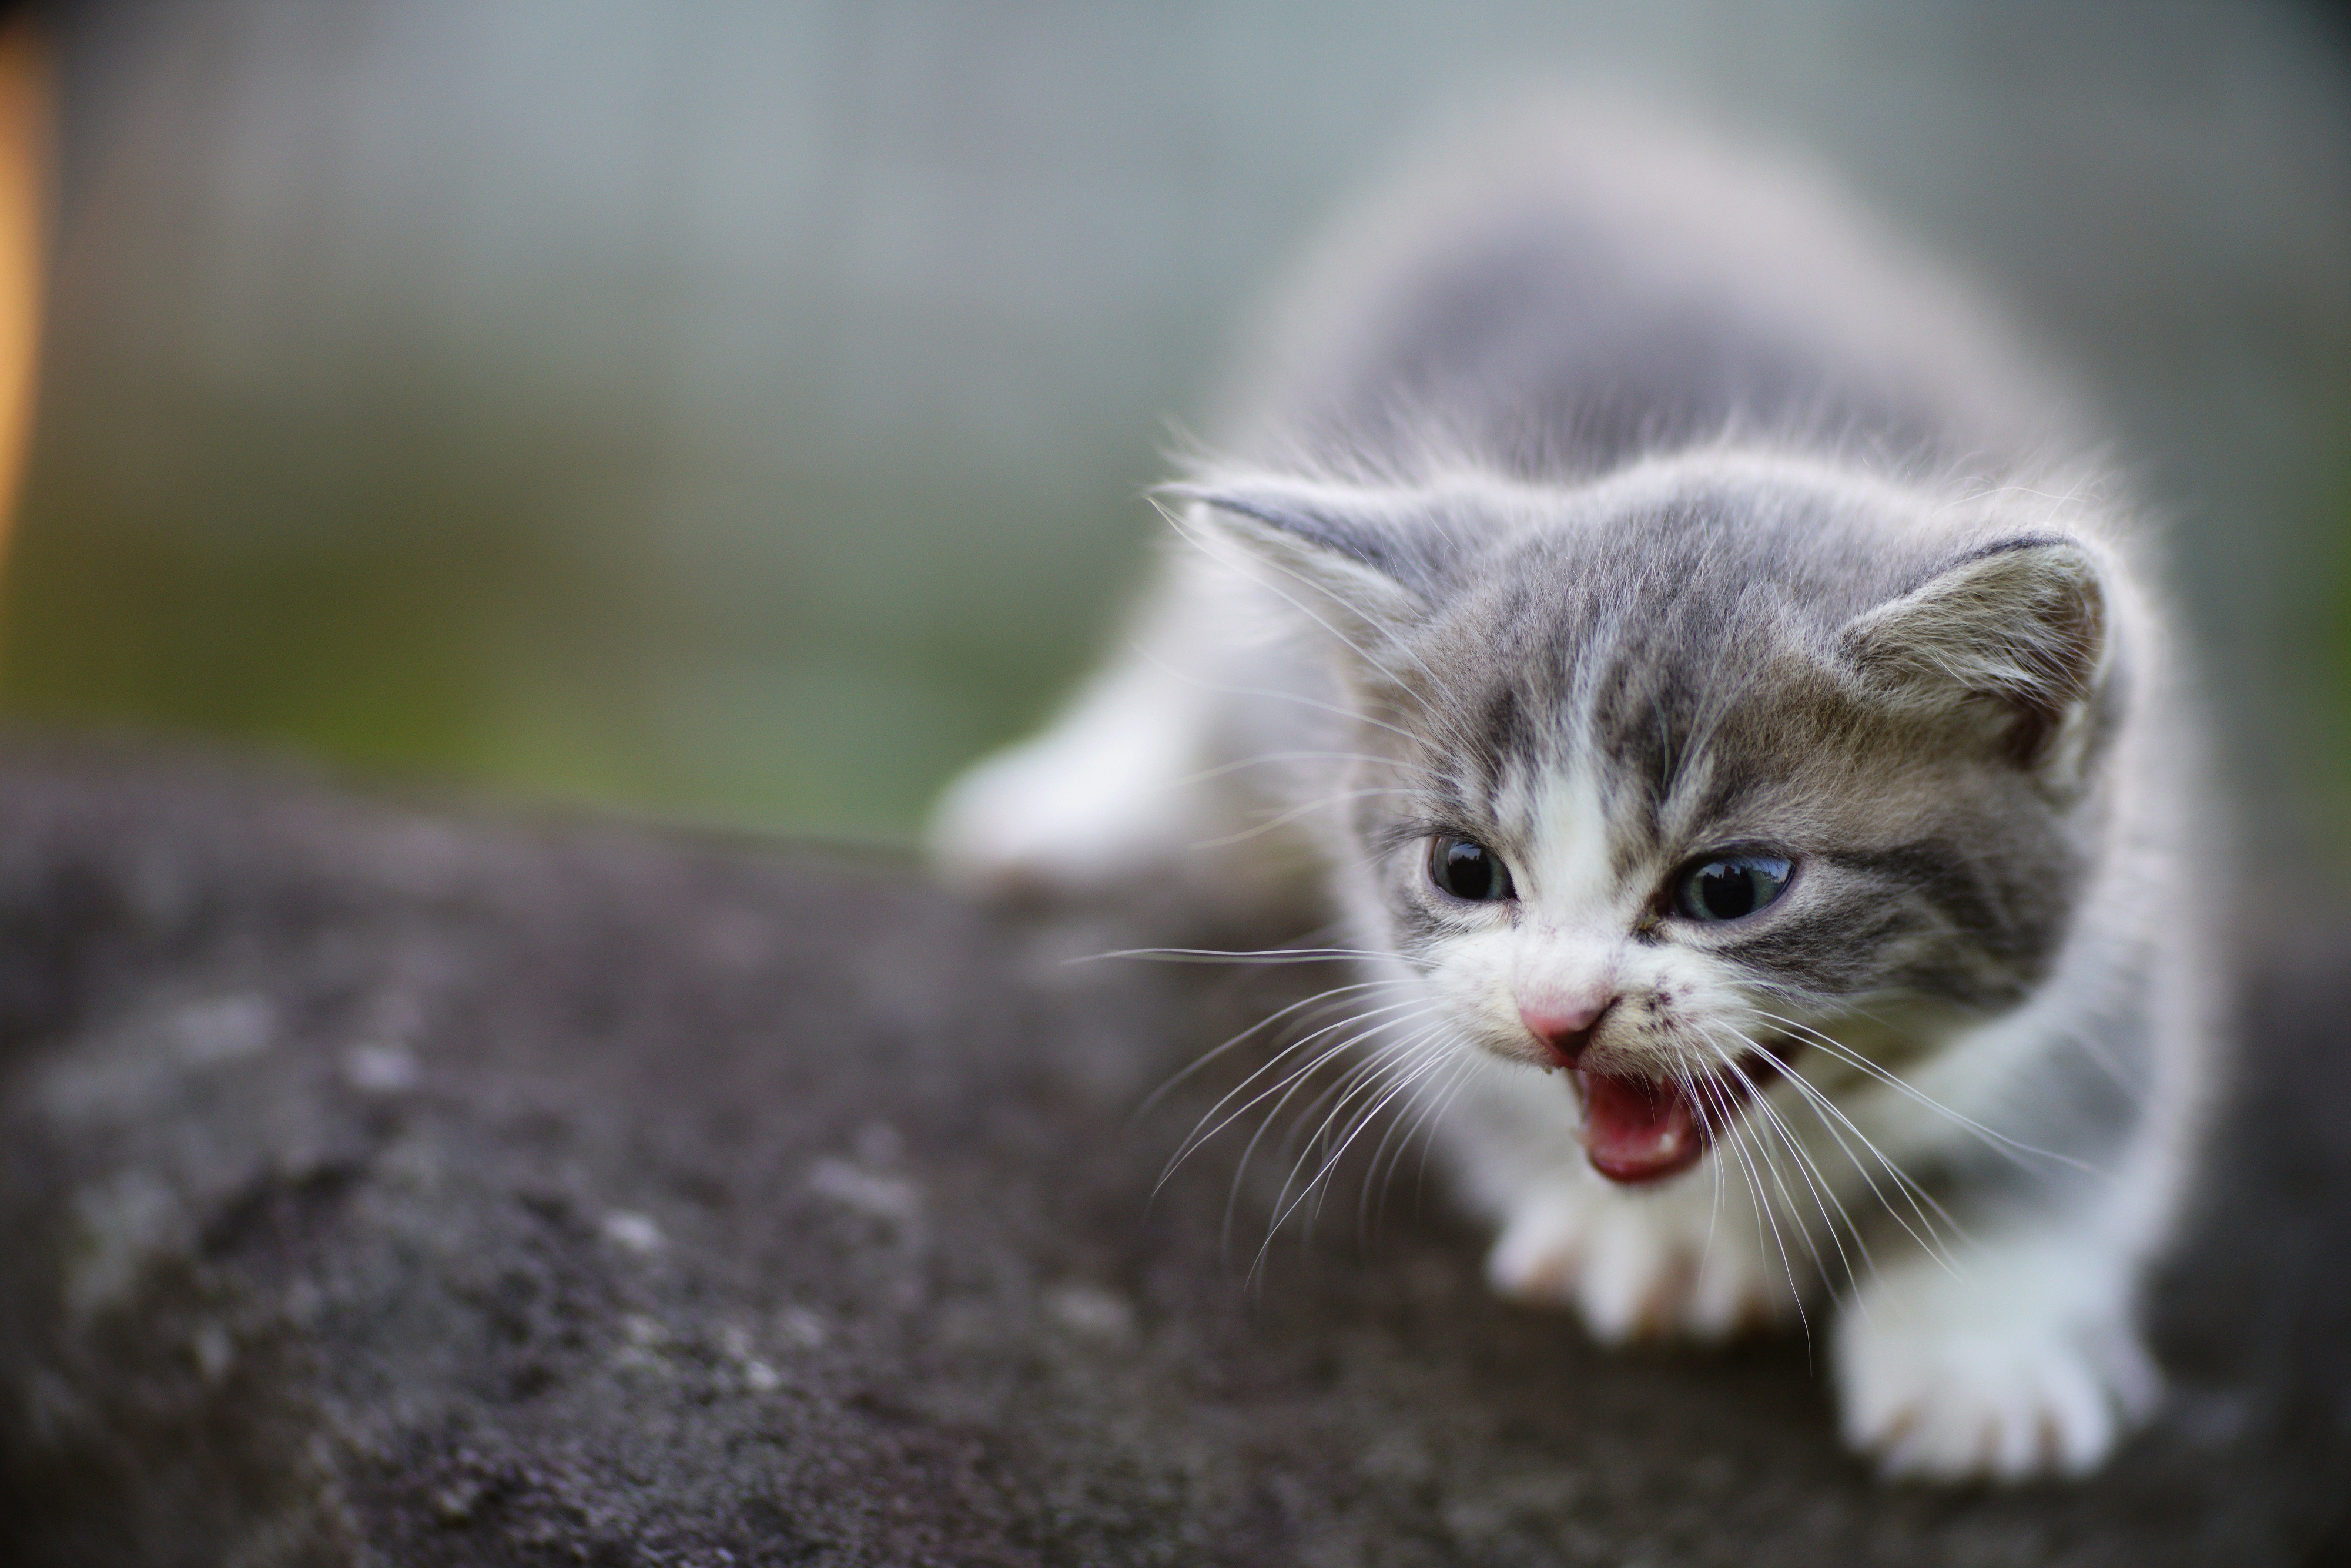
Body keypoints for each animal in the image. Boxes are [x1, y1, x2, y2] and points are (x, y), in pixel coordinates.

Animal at [926, 101, 2210, 1486]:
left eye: (1731, 886)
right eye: (1464, 869)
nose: (1558, 1013)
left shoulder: (2136, 884)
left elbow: (2089, 1131)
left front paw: (1981, 1348)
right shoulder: (1416, 987)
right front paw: (1653, 1240)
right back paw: (1075, 802)